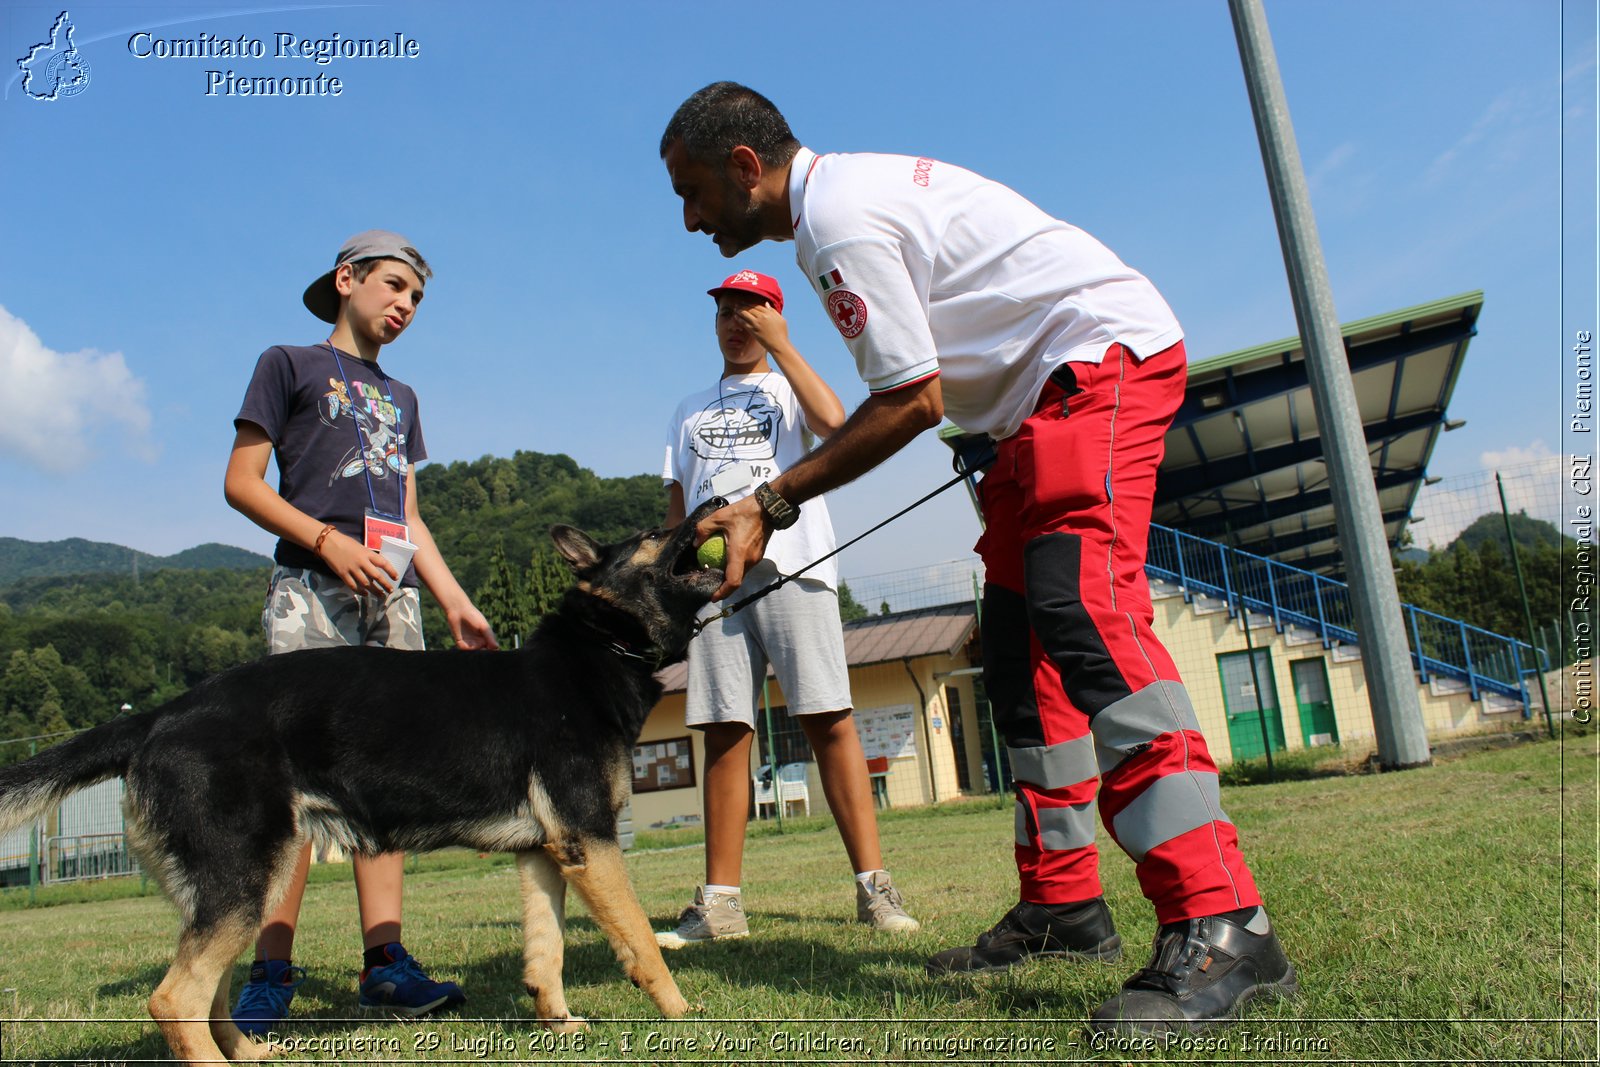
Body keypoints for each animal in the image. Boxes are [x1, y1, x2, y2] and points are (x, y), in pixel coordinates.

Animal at [0, 505, 726, 1062]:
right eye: (655, 531)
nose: (718, 498)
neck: (599, 644)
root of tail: (161, 714)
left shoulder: (546, 854)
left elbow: (545, 953)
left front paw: (560, 1022)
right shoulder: (592, 842)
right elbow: (640, 939)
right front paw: (683, 1012)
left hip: (242, 888)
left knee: (206, 989)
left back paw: (251, 1051)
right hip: (247, 881)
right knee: (172, 997)